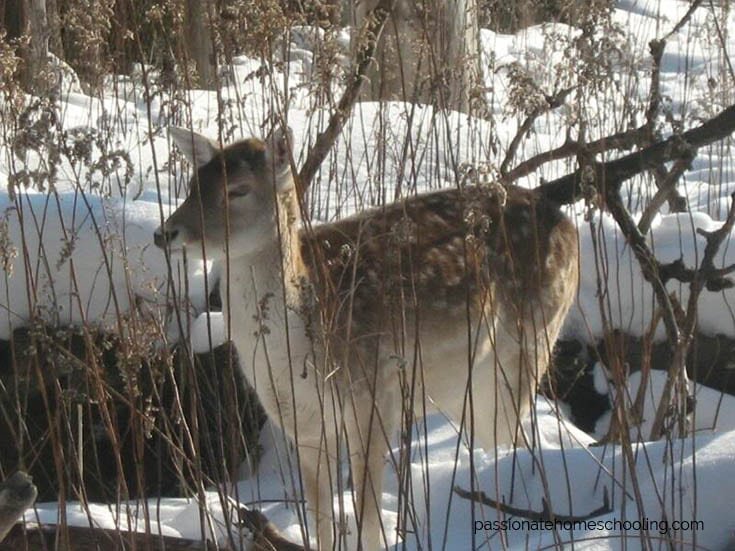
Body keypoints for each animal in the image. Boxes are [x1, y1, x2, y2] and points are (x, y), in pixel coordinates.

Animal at [153, 126, 579, 550]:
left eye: (238, 189)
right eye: (192, 184)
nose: (165, 232)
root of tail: (569, 225)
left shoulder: (374, 395)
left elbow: (367, 515)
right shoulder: (299, 419)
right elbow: (320, 515)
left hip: (531, 342)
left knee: (516, 438)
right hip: (464, 388)